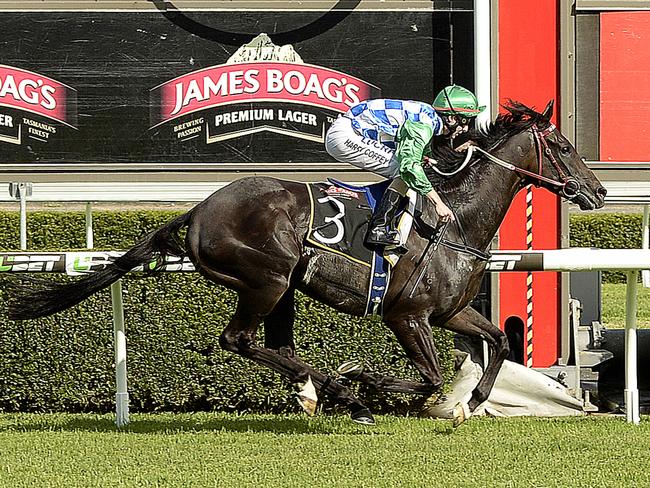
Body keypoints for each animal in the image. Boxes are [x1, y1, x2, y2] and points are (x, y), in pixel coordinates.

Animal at [5, 101, 604, 426]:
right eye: (563, 146)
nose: (598, 192)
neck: (456, 219)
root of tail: (199, 209)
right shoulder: (406, 316)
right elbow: (431, 377)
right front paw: (367, 379)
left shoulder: (450, 312)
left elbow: (498, 342)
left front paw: (472, 401)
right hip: (266, 277)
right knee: (240, 340)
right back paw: (341, 391)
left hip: (285, 286)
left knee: (274, 346)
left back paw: (319, 391)